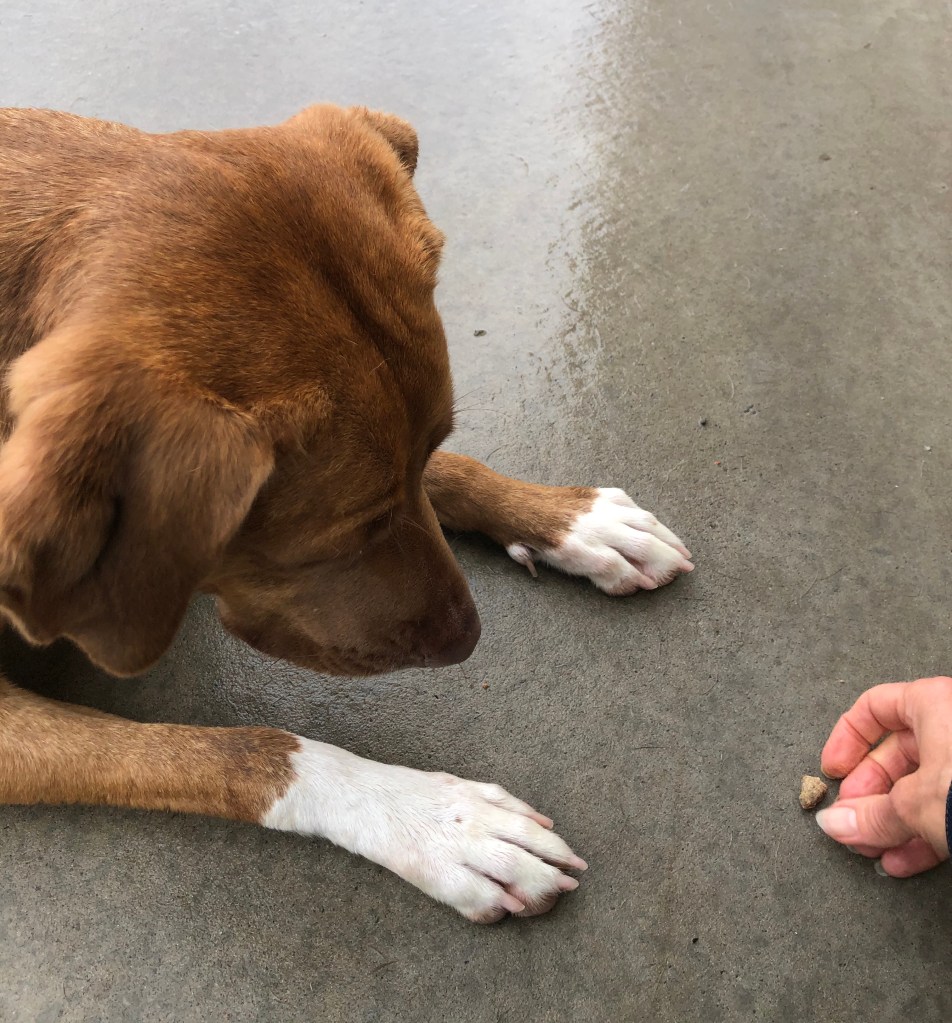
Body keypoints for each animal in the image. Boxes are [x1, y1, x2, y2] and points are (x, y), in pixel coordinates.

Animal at [0, 105, 693, 922]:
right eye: (335, 538)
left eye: (433, 444)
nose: (470, 638)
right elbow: (247, 748)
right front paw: (432, 820)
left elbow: (448, 476)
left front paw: (569, 520)